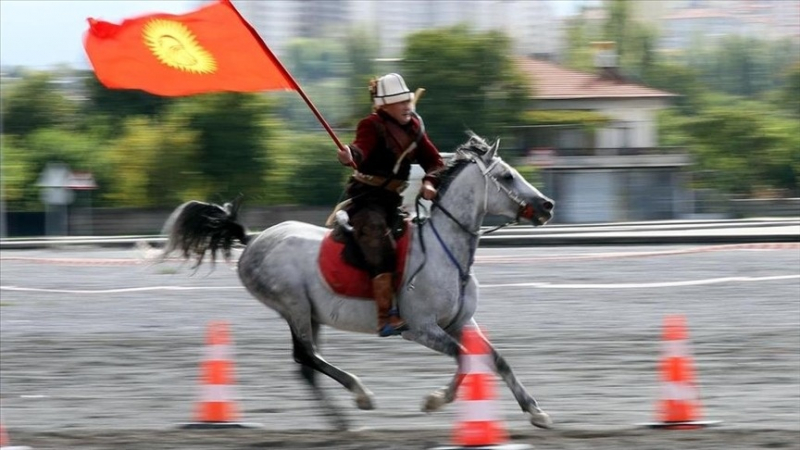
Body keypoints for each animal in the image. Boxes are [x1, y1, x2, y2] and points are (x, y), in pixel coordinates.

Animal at [159, 134, 552, 428]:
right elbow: (465, 359)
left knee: (306, 366)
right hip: (293, 306)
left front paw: (537, 412)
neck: (447, 251)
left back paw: (342, 421)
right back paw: (359, 397)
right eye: (507, 177)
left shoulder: (460, 322)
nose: (547, 205)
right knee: (306, 356)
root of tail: (252, 240)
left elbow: (496, 359)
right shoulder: (420, 328)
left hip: (310, 314)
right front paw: (434, 401)